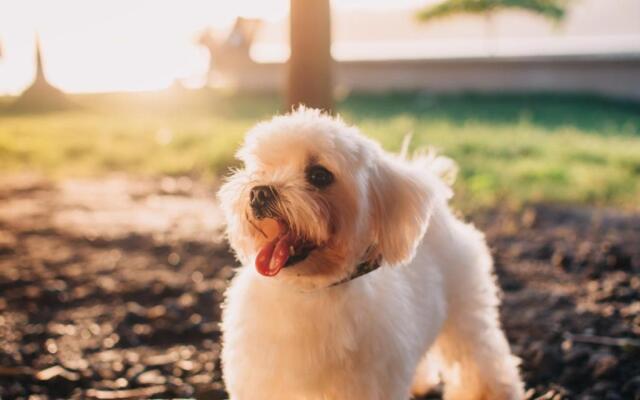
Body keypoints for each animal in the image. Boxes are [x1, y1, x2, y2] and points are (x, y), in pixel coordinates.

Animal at [220, 108, 524, 398]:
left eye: (319, 175)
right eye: (261, 168)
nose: (259, 193)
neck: (310, 290)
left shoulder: (365, 384)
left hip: (465, 307)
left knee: (480, 352)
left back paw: (490, 393)